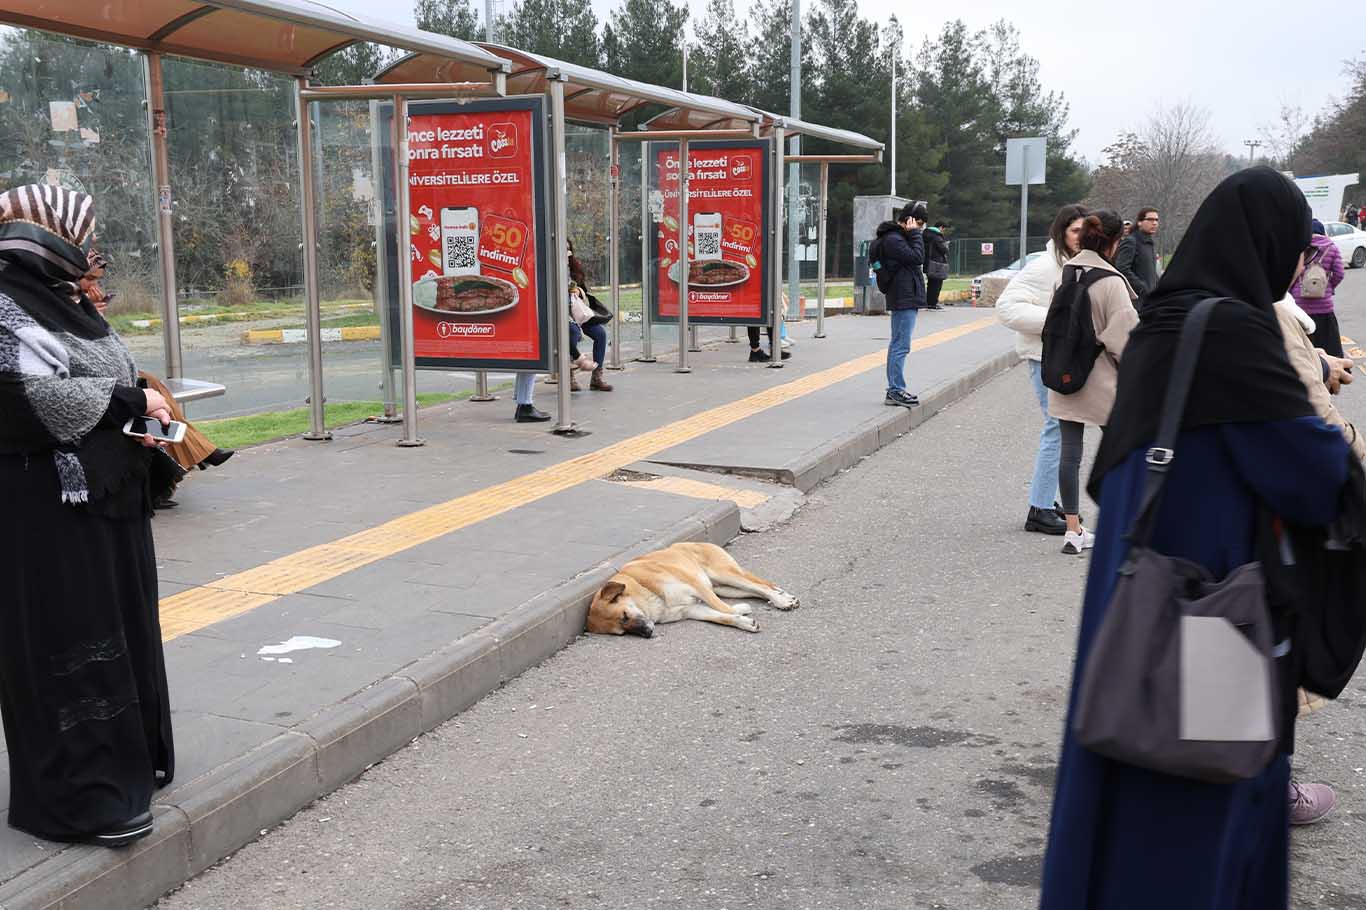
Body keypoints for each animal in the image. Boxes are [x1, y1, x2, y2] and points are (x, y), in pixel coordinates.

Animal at [587, 541, 797, 633]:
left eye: (624, 616)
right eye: (622, 632)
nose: (647, 633)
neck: (642, 585)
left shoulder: (696, 585)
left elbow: (721, 608)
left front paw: (738, 613)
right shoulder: (691, 610)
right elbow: (721, 616)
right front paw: (742, 620)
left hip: (723, 573)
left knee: (760, 586)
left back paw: (781, 600)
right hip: (724, 587)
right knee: (755, 589)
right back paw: (780, 596)